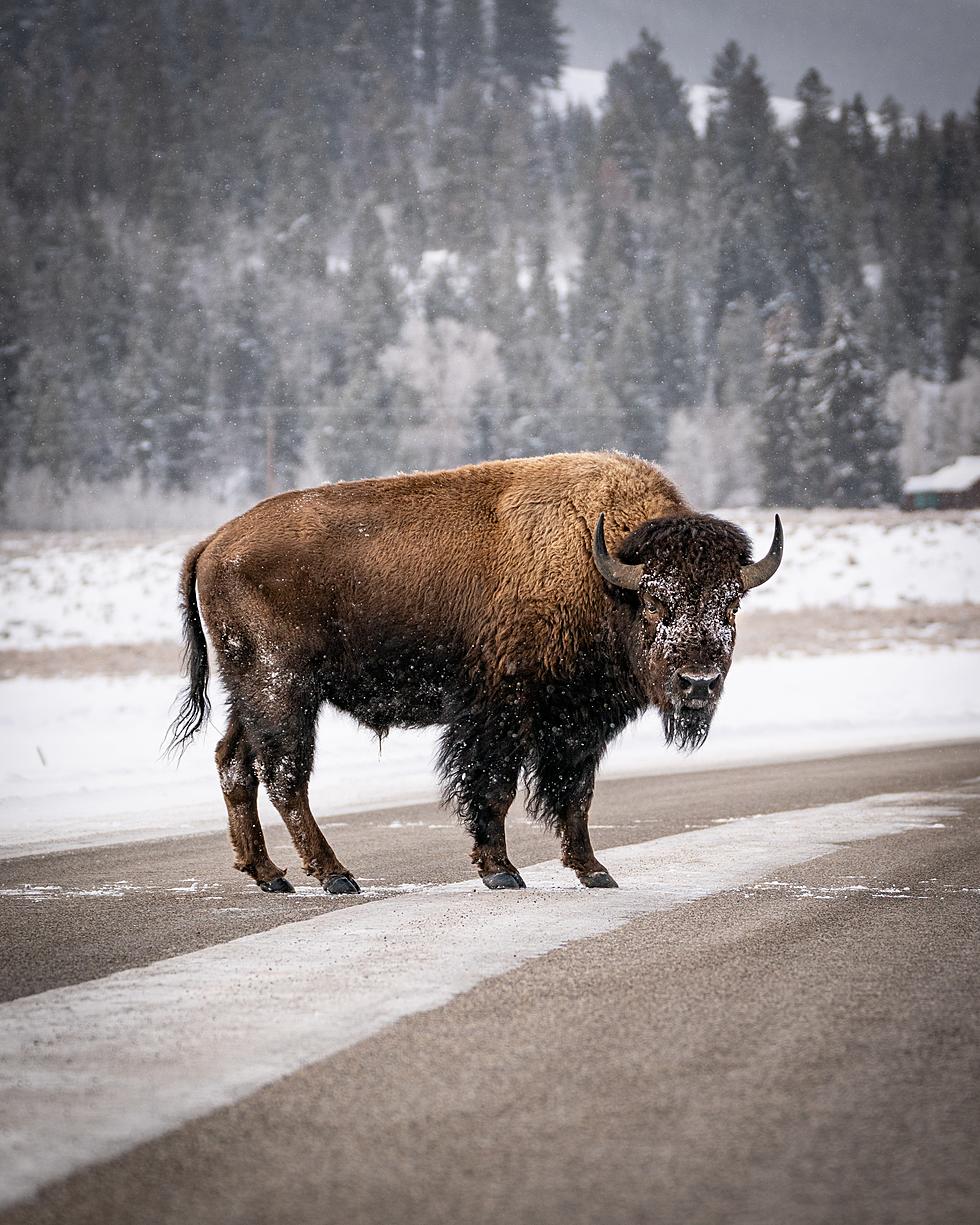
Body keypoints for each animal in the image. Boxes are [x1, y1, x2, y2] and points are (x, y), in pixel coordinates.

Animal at [170, 455, 779, 896]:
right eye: (655, 601)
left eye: (731, 604)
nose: (698, 683)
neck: (601, 568)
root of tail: (213, 543)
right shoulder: (501, 714)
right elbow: (495, 789)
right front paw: (502, 871)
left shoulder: (578, 726)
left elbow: (576, 796)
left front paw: (595, 871)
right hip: (283, 690)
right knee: (285, 777)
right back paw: (336, 877)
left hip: (252, 695)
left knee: (236, 765)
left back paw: (270, 876)